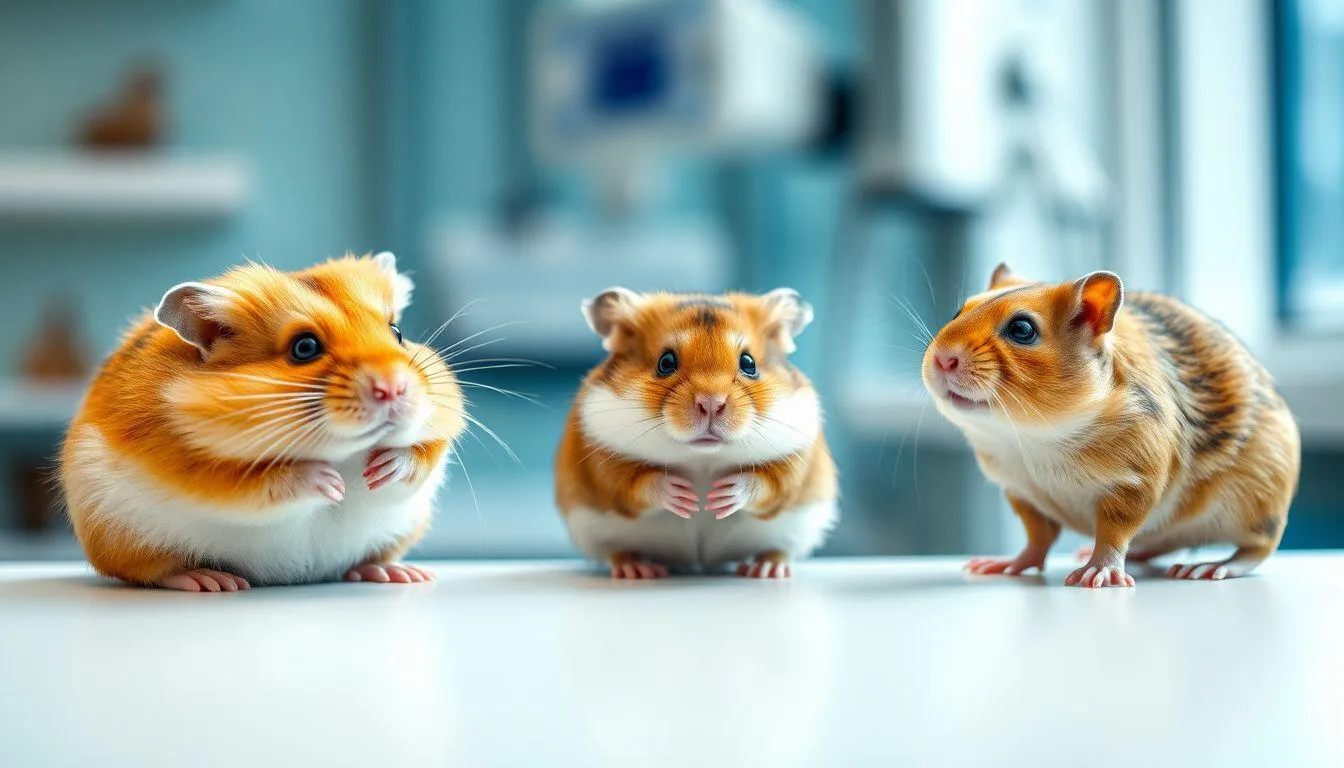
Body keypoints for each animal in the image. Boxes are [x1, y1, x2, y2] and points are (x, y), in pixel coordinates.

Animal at [60, 253, 467, 591]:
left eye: (397, 333)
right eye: (305, 348)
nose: (394, 388)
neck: (345, 453)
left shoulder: (440, 423)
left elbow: (422, 457)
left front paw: (381, 469)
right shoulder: (189, 463)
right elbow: (261, 485)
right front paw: (330, 483)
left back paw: (398, 573)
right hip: (124, 542)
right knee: (153, 572)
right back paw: (211, 580)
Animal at [555, 288, 838, 579]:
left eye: (749, 363)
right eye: (666, 362)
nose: (711, 403)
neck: (703, 457)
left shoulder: (795, 462)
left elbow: (767, 484)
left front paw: (721, 496)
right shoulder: (603, 459)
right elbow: (636, 483)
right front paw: (685, 496)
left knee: (778, 549)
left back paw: (766, 569)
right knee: (619, 550)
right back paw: (637, 569)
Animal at [924, 264, 1300, 588]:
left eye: (1022, 330)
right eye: (958, 312)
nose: (942, 358)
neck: (1033, 437)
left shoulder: (1135, 481)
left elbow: (1113, 533)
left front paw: (1099, 572)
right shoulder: (1021, 492)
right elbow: (1037, 538)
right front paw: (1005, 564)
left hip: (1255, 504)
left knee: (1259, 548)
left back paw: (1212, 566)